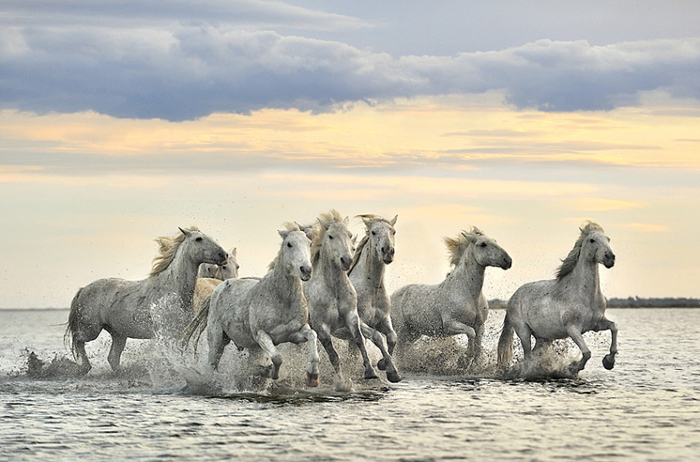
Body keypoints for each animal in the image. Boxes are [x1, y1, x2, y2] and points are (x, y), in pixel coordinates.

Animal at [65, 227, 227, 376]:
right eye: (198, 239)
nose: (223, 255)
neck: (172, 291)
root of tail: (82, 290)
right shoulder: (165, 335)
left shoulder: (179, 333)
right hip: (91, 330)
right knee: (78, 338)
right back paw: (85, 367)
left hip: (119, 334)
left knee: (113, 358)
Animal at [348, 215, 402, 380]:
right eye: (373, 232)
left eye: (393, 231)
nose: (388, 251)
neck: (372, 289)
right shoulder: (360, 322)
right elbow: (377, 337)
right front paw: (391, 370)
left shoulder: (383, 320)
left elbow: (392, 337)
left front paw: (383, 365)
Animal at [392, 227, 512, 368]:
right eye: (483, 244)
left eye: (495, 241)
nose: (508, 260)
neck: (469, 294)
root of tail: (391, 296)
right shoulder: (451, 324)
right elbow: (471, 333)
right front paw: (463, 360)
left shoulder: (480, 325)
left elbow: (478, 345)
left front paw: (475, 363)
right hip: (402, 331)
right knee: (396, 352)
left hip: (413, 333)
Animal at [498, 222, 616, 378]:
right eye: (592, 240)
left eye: (608, 239)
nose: (610, 258)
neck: (585, 295)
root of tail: (512, 298)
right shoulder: (573, 329)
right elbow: (587, 353)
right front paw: (572, 368)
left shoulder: (597, 324)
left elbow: (614, 327)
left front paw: (609, 361)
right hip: (524, 332)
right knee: (528, 358)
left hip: (544, 338)